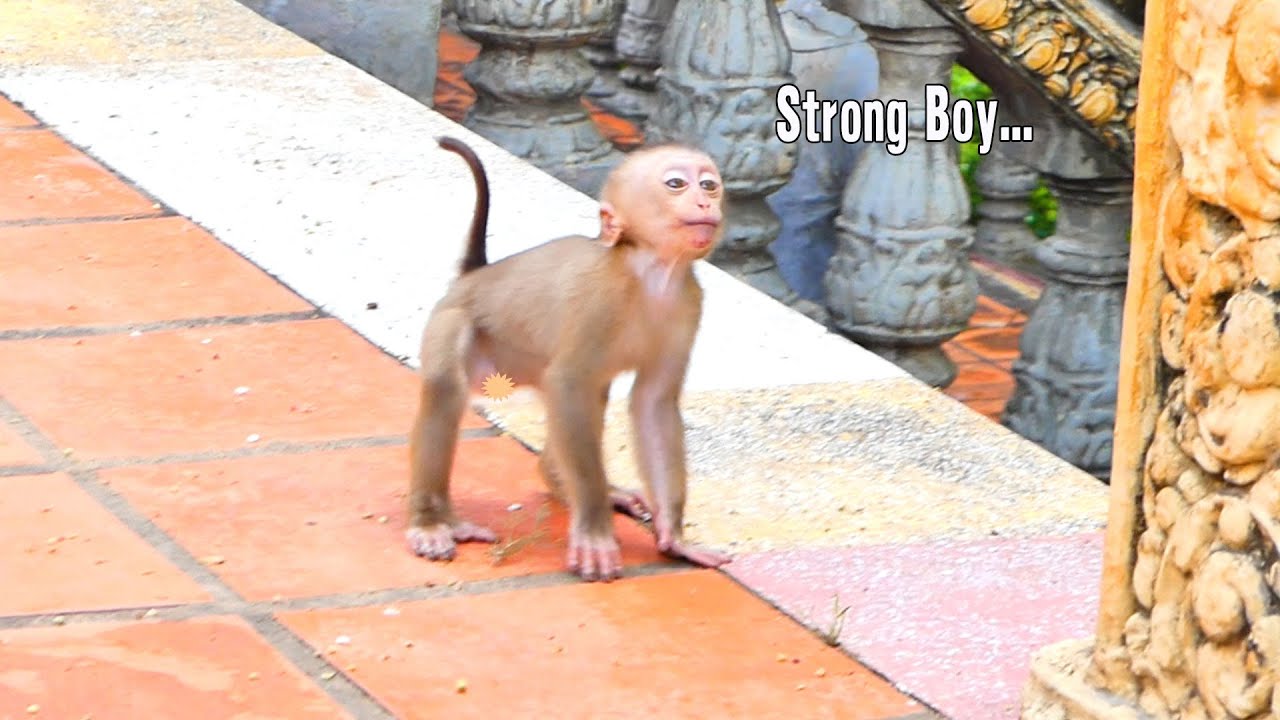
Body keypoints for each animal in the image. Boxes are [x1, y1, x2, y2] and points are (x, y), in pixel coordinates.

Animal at [406, 135, 732, 582]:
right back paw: (433, 521)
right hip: (457, 322)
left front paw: (674, 536)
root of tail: (474, 278)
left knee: (591, 393)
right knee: (447, 387)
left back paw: (562, 480)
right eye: (677, 184)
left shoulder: (688, 304)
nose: (704, 202)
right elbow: (569, 383)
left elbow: (653, 404)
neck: (650, 273)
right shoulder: (602, 298)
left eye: (710, 184)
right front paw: (594, 532)